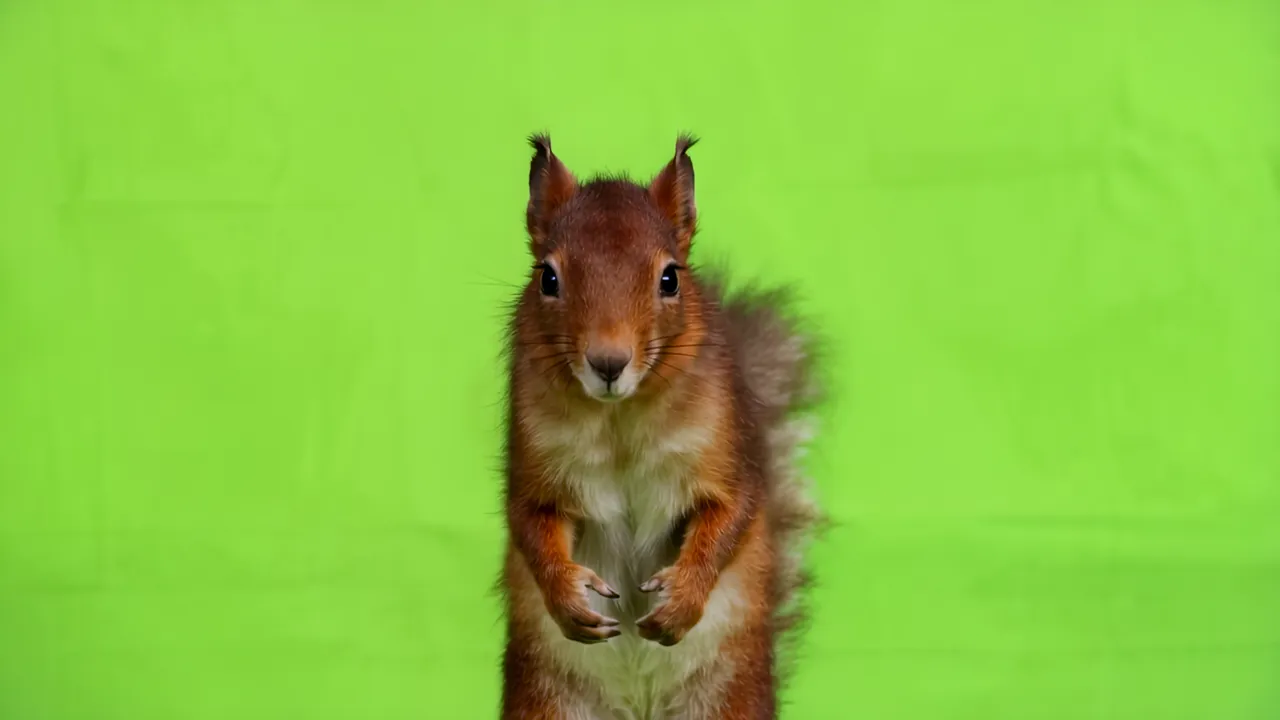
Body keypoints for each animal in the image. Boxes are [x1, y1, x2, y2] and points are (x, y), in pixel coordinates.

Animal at [500, 133, 824, 720]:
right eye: (547, 277)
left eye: (671, 278)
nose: (608, 362)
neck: (619, 417)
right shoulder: (533, 461)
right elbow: (529, 521)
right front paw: (568, 599)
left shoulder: (725, 451)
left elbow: (733, 512)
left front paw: (681, 602)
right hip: (547, 701)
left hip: (728, 698)